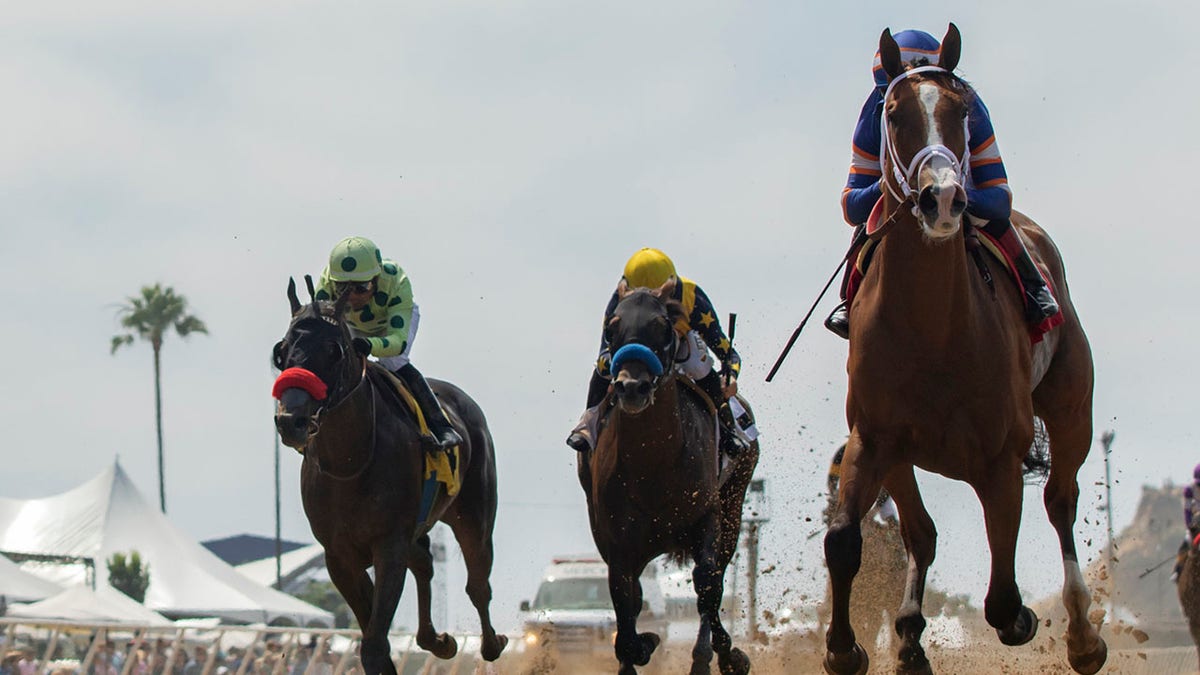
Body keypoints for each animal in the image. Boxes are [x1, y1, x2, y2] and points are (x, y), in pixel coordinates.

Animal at [272, 276, 506, 667]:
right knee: (425, 563)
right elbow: (371, 632)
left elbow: (375, 644)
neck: (350, 464)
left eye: (335, 350)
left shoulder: (389, 545)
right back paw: (437, 640)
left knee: (477, 583)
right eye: (281, 351)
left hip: (474, 514)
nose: (291, 421)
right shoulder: (339, 556)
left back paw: (491, 642)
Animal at [573, 277, 758, 672]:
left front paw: (726, 655)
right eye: (612, 328)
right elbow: (626, 606)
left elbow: (707, 585)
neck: (653, 466)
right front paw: (641, 645)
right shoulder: (617, 542)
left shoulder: (708, 517)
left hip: (734, 509)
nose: (631, 386)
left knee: (715, 579)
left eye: (661, 326)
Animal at [825, 23, 1104, 672]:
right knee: (921, 535)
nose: (944, 198)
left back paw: (1082, 633)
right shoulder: (874, 437)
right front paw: (845, 649)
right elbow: (847, 538)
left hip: (1072, 409)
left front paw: (1026, 619)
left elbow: (1003, 600)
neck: (933, 329)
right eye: (893, 114)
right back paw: (907, 638)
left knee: (1061, 499)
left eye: (962, 112)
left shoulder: (1001, 457)